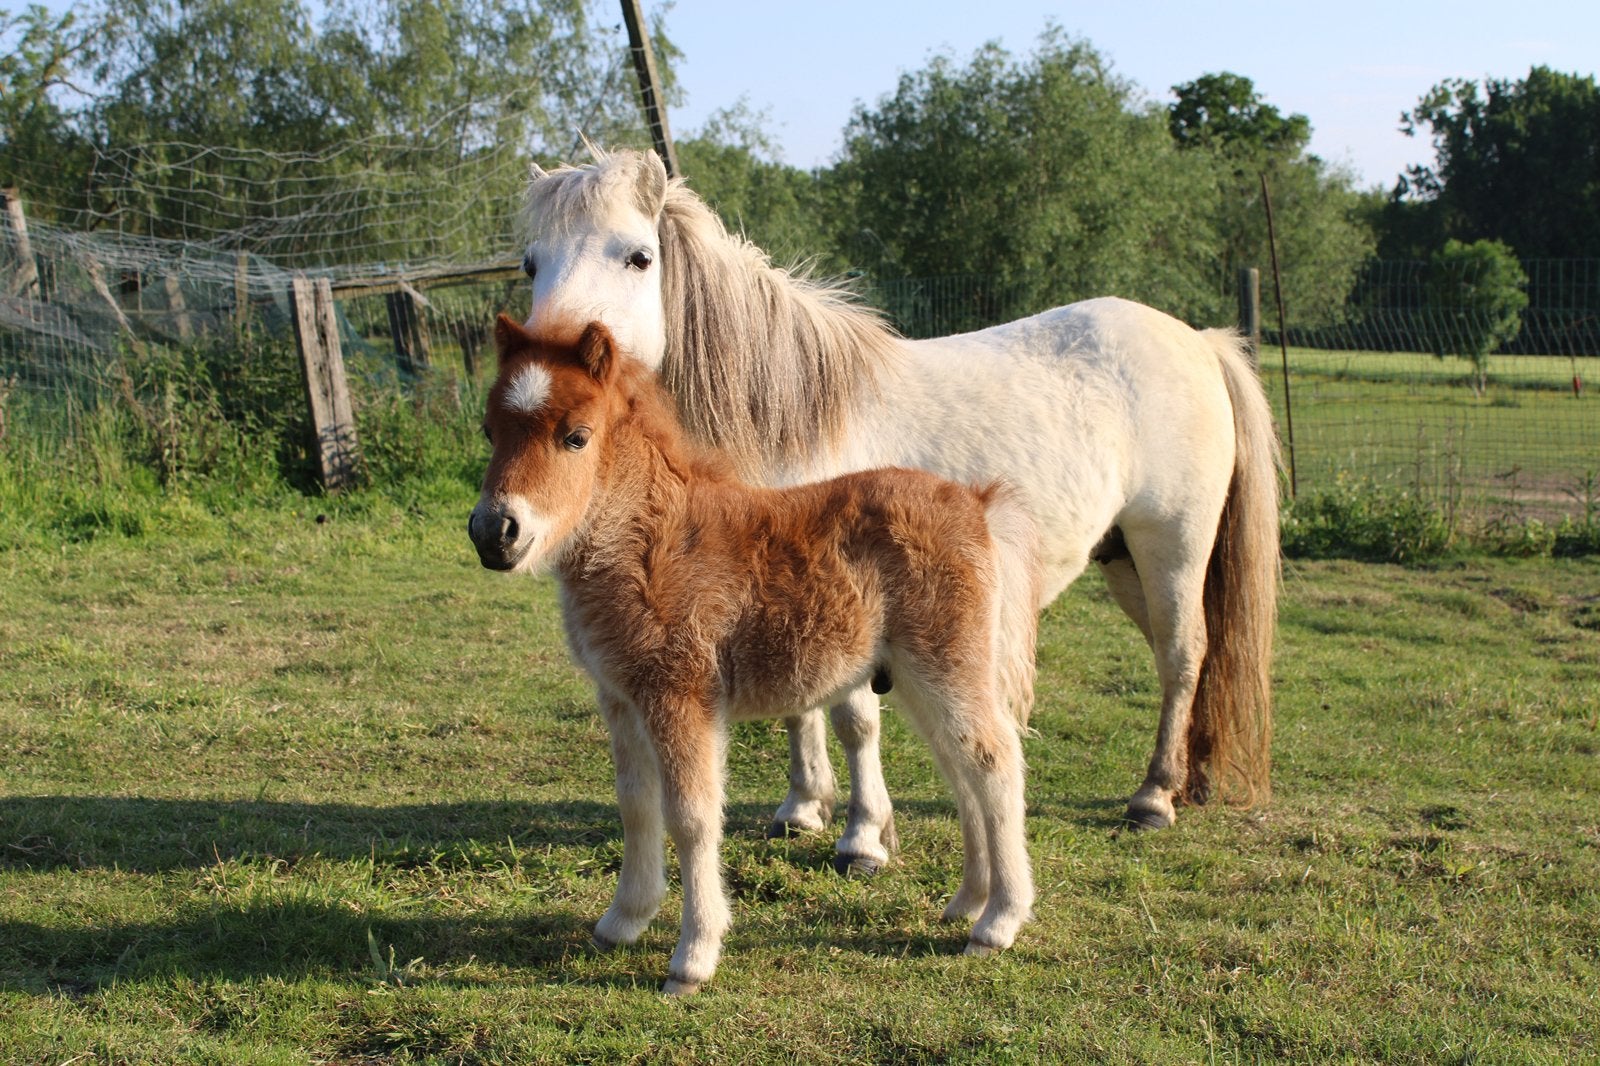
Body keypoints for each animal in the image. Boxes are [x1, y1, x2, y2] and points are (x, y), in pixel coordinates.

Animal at [468, 315, 1042, 995]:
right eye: (489, 430)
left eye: (575, 437)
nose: (494, 533)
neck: (650, 542)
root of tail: (975, 504)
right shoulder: (621, 697)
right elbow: (636, 806)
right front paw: (622, 920)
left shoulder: (681, 696)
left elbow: (692, 817)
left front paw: (693, 957)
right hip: (915, 677)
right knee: (960, 769)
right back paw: (967, 903)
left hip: (948, 666)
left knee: (994, 760)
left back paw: (998, 924)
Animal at [517, 146, 1280, 875]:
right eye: (530, 262)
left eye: (637, 255)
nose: (550, 371)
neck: (786, 423)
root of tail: (1198, 340)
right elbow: (802, 709)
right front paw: (803, 807)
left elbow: (855, 719)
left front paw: (863, 838)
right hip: (1122, 558)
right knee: (1185, 658)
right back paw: (1192, 778)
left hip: (1171, 547)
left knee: (1183, 655)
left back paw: (1155, 797)